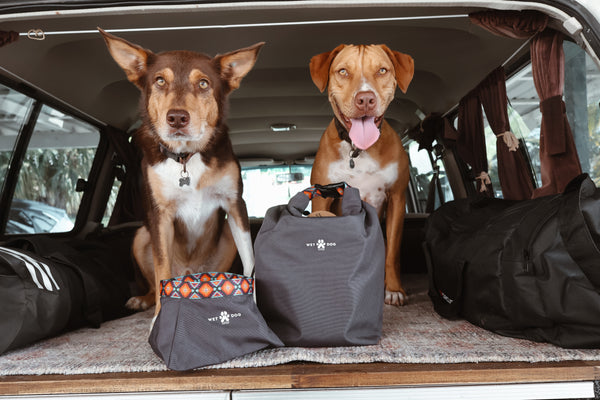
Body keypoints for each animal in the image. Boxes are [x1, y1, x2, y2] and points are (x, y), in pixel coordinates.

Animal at [99, 28, 264, 316]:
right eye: (160, 81)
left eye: (204, 84)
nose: (177, 118)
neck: (186, 157)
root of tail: (190, 273)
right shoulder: (160, 216)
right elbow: (161, 271)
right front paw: (158, 318)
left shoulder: (235, 205)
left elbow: (250, 262)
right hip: (142, 235)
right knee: (154, 281)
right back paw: (143, 299)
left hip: (225, 237)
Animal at [310, 44, 412, 306]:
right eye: (343, 71)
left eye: (382, 70)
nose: (365, 99)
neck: (359, 149)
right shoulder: (321, 197)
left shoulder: (397, 198)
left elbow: (392, 251)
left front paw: (394, 290)